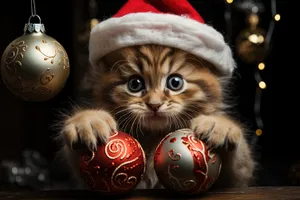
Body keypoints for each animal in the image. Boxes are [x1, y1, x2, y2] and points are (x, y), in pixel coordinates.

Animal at [58, 43, 255, 189]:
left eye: (175, 82)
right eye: (135, 84)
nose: (154, 104)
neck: (154, 138)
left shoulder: (237, 181)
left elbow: (238, 166)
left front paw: (219, 125)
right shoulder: (81, 181)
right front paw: (88, 122)